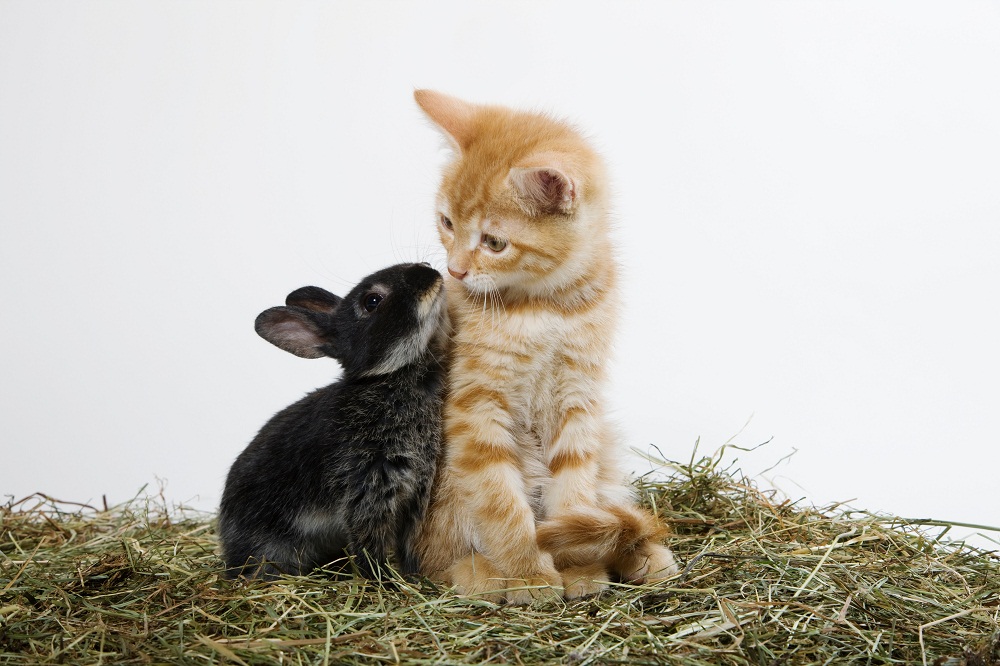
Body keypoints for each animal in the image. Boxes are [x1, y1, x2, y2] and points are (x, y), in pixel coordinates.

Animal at [223, 262, 450, 580]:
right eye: (372, 301)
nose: (429, 272)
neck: (387, 380)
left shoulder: (416, 493)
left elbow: (407, 544)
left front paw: (414, 578)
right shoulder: (368, 487)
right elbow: (370, 545)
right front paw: (384, 583)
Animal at [414, 89, 680, 600]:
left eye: (494, 242)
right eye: (446, 222)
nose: (454, 270)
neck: (547, 306)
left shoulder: (578, 399)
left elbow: (574, 491)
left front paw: (578, 565)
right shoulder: (476, 404)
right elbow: (499, 499)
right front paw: (528, 572)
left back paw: (641, 556)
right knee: (438, 558)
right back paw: (481, 572)